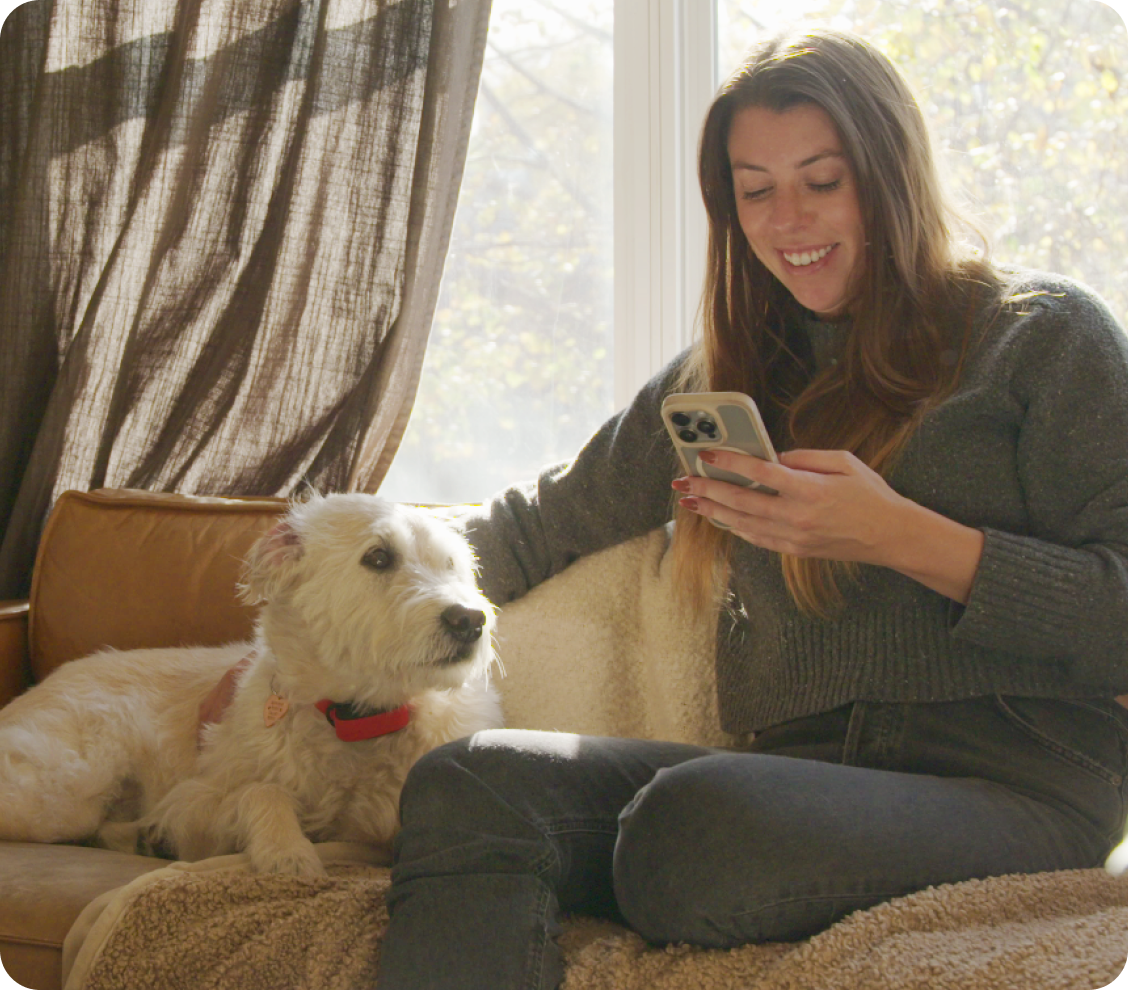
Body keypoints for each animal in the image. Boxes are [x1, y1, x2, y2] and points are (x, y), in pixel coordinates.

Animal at [0, 496, 503, 874]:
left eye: (451, 564)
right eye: (378, 557)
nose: (470, 620)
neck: (356, 719)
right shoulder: (197, 800)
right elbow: (261, 792)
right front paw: (287, 852)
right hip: (66, 791)